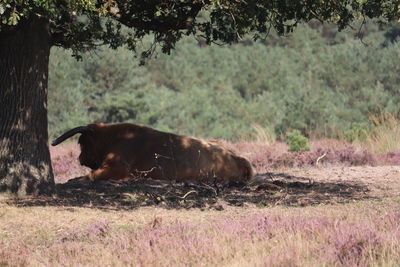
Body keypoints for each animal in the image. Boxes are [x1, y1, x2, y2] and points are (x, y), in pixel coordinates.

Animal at [52, 123, 253, 184]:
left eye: (82, 142)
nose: (80, 158)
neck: (113, 137)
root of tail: (237, 158)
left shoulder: (114, 168)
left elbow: (92, 175)